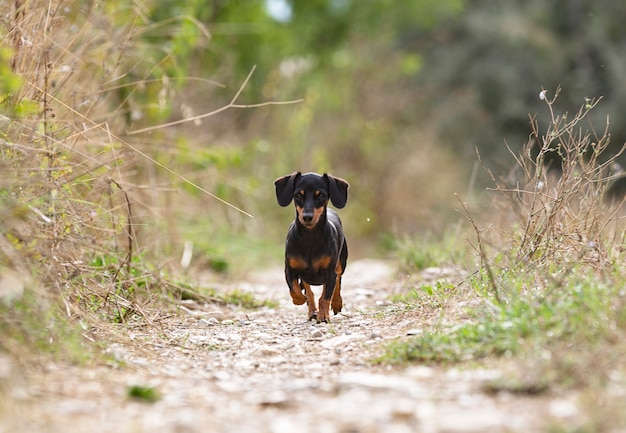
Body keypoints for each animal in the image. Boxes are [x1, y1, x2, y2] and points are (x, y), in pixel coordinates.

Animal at [276, 172, 348, 320]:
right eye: (298, 195)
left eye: (321, 196)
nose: (307, 217)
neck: (310, 238)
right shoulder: (290, 269)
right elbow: (295, 289)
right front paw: (300, 300)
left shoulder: (330, 272)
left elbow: (326, 296)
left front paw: (324, 316)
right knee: (309, 290)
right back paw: (312, 310)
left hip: (341, 264)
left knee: (338, 281)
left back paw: (336, 303)